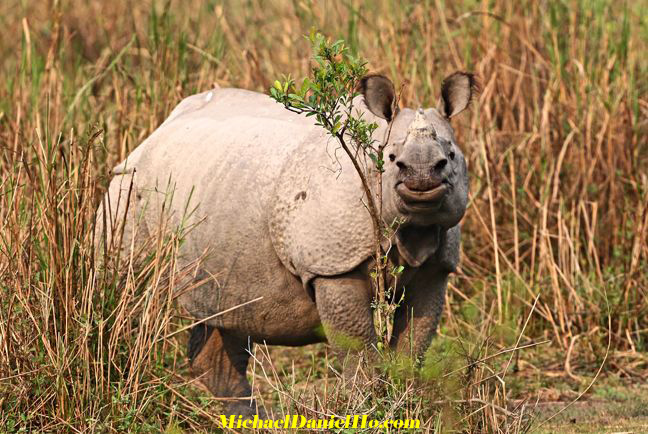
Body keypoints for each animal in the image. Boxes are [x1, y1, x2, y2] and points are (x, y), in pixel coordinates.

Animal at [97, 72, 476, 418]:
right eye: (394, 159)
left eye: (450, 157)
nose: (422, 177)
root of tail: (156, 133)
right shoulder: (333, 267)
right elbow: (358, 352)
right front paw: (370, 409)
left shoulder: (435, 268)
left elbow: (414, 344)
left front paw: (404, 404)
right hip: (129, 189)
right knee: (124, 290)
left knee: (225, 311)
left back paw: (246, 418)